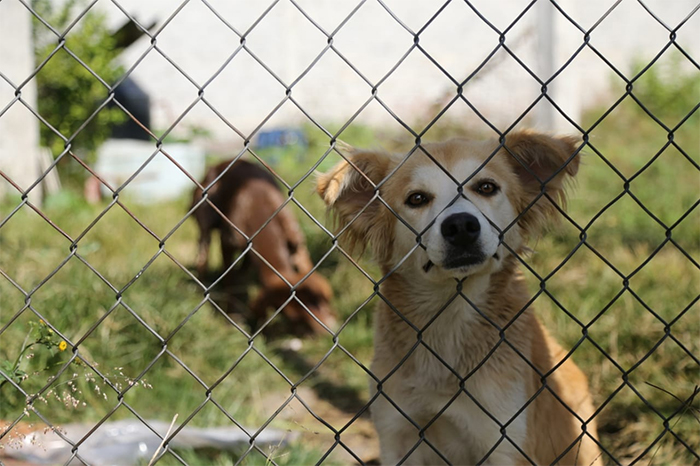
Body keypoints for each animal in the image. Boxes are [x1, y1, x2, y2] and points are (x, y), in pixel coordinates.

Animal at [192, 159, 336, 335]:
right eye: (294, 320)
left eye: (318, 304)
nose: (325, 333)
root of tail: (219, 164)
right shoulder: (228, 243)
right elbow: (231, 281)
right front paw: (232, 316)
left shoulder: (296, 242)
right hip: (205, 217)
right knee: (203, 256)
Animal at [317, 131, 602, 465]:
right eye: (416, 198)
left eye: (486, 187)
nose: (461, 225)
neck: (450, 313)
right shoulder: (396, 433)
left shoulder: (505, 440)